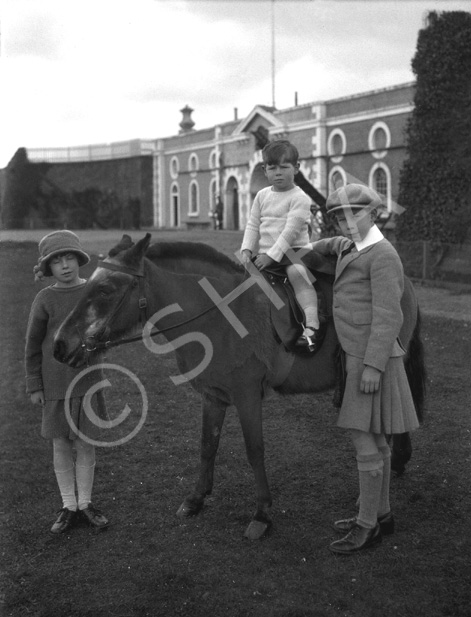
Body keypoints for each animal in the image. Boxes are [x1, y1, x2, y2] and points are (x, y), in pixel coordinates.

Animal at [53, 236, 426, 540]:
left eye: (106, 289)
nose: (59, 344)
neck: (217, 316)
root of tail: (406, 281)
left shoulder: (247, 398)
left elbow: (254, 450)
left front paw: (262, 513)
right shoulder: (213, 396)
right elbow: (207, 446)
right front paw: (196, 499)